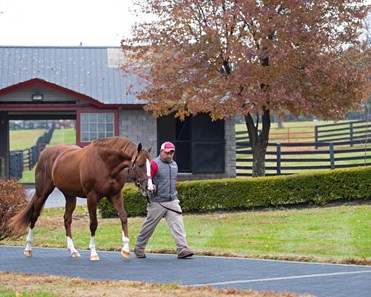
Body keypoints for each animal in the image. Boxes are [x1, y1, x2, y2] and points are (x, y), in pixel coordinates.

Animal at [10, 136, 154, 260]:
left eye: (151, 165)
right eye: (140, 164)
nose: (149, 188)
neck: (105, 164)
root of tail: (45, 153)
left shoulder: (115, 195)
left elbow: (123, 217)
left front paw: (125, 249)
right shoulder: (92, 197)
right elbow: (93, 223)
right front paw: (94, 253)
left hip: (70, 195)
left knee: (67, 219)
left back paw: (73, 250)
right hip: (42, 193)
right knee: (34, 216)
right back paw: (28, 248)